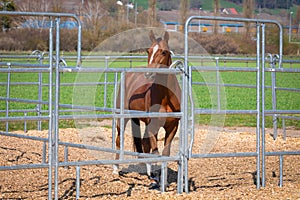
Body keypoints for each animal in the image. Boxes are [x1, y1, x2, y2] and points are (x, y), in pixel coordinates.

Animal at [114, 31, 180, 189]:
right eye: (148, 51)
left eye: (164, 52)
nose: (149, 73)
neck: (166, 96)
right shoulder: (153, 125)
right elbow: (155, 152)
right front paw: (157, 178)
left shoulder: (173, 127)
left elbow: (164, 153)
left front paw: (163, 180)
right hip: (123, 117)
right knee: (119, 140)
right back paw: (116, 169)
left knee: (143, 144)